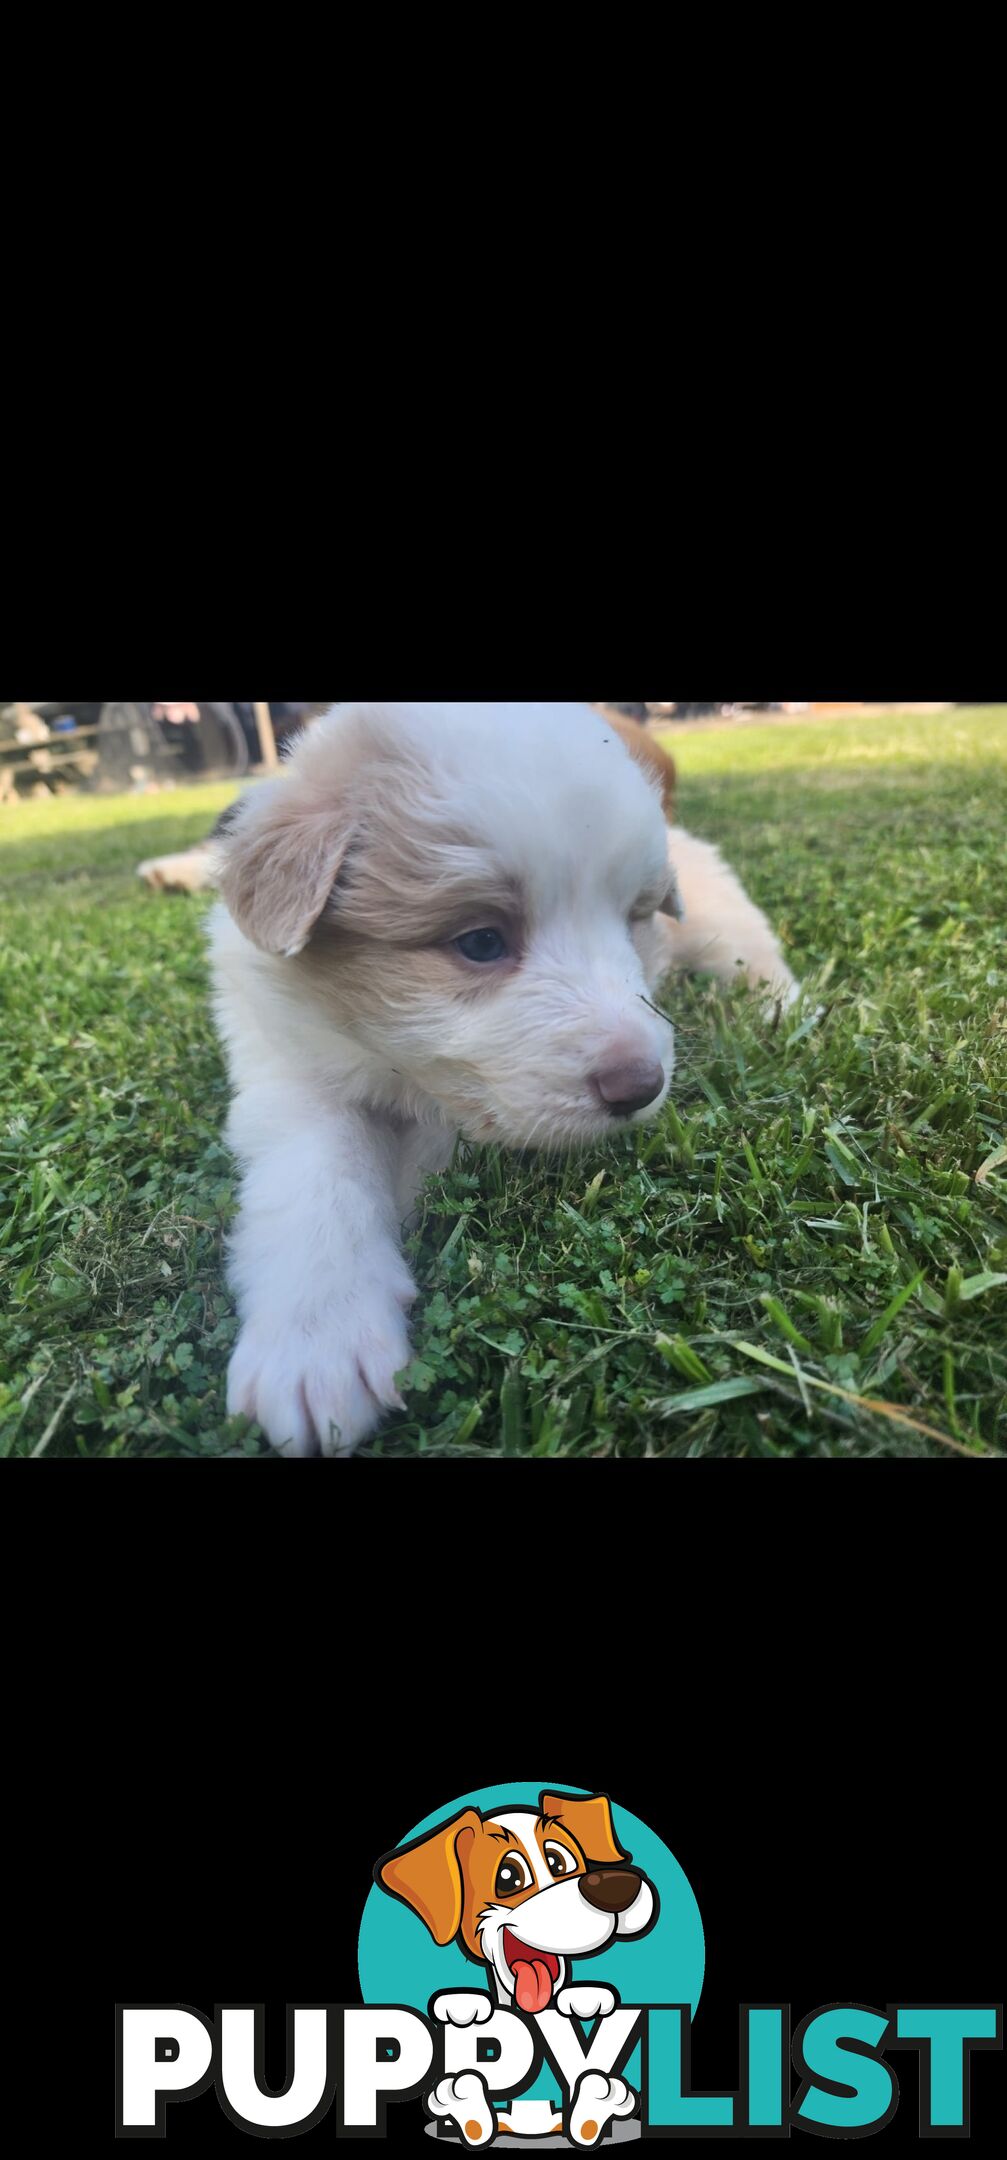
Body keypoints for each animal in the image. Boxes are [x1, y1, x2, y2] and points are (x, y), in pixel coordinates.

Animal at [200, 704, 790, 1451]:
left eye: (634, 920)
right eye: (481, 941)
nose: (640, 1086)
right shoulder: (283, 1060)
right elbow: (317, 1169)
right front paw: (317, 1340)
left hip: (716, 917)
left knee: (753, 952)